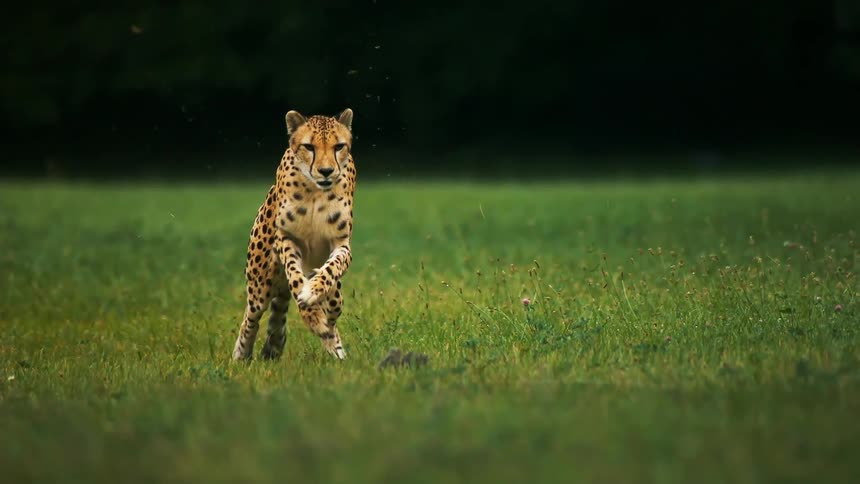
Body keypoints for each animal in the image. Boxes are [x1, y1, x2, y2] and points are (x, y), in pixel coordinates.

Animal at [232, 108, 356, 362]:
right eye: (309, 147)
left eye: (339, 146)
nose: (326, 171)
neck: (316, 191)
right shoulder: (286, 239)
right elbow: (296, 279)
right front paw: (312, 313)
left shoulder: (341, 243)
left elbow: (332, 268)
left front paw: (315, 291)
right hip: (260, 283)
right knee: (252, 316)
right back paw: (242, 352)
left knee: (330, 306)